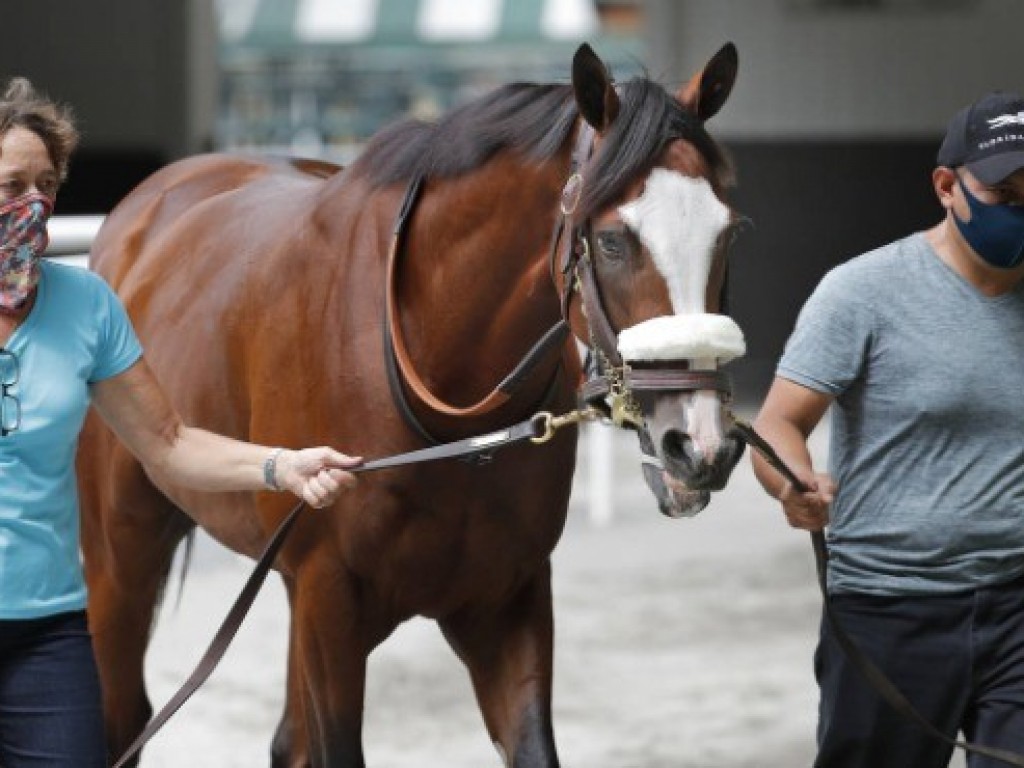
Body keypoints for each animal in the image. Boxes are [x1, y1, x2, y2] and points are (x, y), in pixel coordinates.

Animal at [77, 43, 745, 768]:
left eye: (728, 233)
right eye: (616, 240)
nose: (700, 445)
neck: (451, 421)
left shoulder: (508, 598)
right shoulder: (328, 600)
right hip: (120, 553)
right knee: (122, 713)